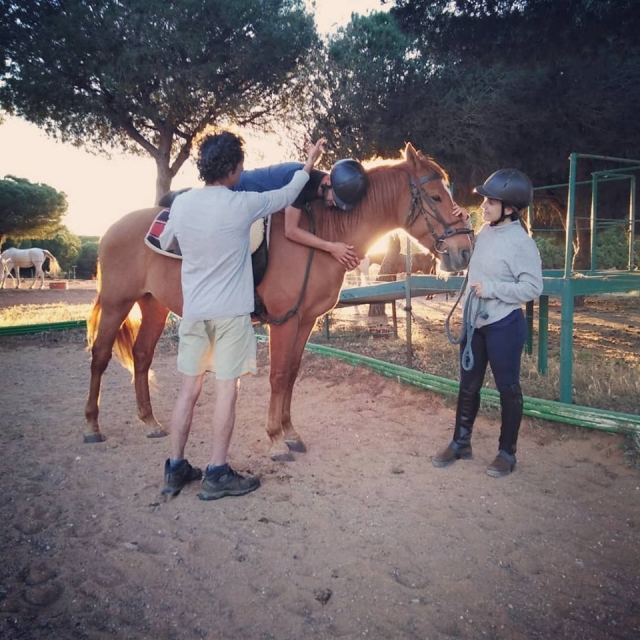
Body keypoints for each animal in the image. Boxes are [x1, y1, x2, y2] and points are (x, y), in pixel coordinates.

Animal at [84, 143, 473, 461]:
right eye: (436, 197)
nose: (464, 250)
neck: (323, 234)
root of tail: (113, 228)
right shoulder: (284, 320)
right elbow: (278, 375)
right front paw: (275, 439)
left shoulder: (305, 320)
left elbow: (292, 374)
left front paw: (290, 432)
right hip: (118, 303)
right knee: (100, 356)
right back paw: (92, 427)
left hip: (154, 305)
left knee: (141, 356)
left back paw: (150, 421)